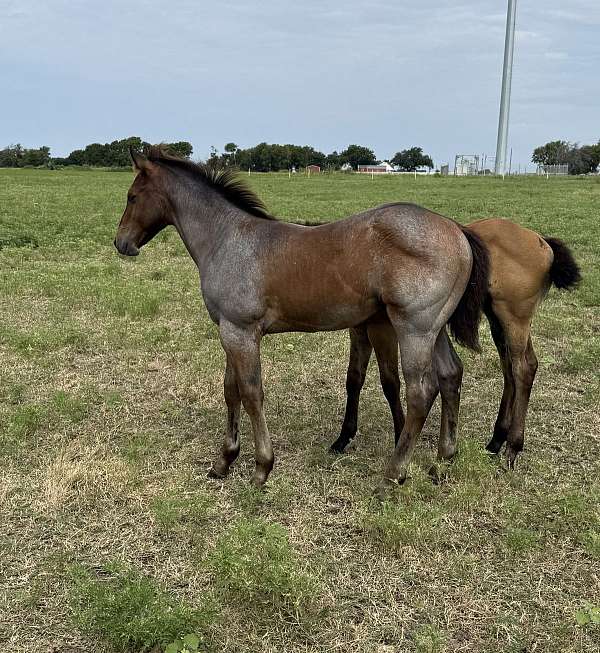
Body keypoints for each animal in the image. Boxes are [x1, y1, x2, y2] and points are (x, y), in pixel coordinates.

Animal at [114, 146, 489, 495]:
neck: (227, 240)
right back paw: (443, 461)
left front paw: (261, 468)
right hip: (433, 330)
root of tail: (457, 230)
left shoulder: (241, 332)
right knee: (450, 375)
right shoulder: (229, 331)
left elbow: (251, 393)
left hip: (414, 329)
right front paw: (224, 462)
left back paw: (393, 474)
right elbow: (230, 390)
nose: (122, 243)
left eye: (132, 196)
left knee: (420, 392)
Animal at [330, 218, 581, 469]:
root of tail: (541, 241)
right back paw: (496, 440)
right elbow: (354, 378)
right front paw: (343, 437)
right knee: (510, 369)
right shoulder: (359, 329)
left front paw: (397, 437)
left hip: (514, 319)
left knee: (523, 368)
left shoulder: (383, 329)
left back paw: (512, 447)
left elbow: (390, 382)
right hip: (498, 321)